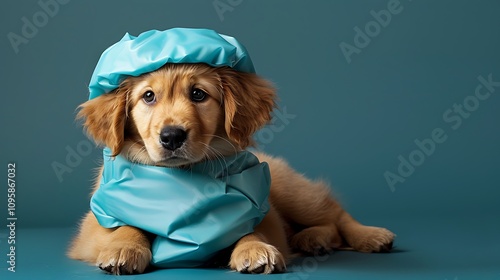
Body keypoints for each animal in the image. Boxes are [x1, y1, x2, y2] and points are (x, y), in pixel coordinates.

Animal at [68, 63, 394, 274]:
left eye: (198, 94)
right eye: (148, 96)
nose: (171, 136)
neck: (184, 178)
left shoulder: (267, 215)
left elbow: (253, 230)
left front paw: (253, 249)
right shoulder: (92, 227)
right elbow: (126, 225)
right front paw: (125, 248)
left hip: (292, 191)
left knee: (335, 214)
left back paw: (369, 236)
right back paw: (314, 240)